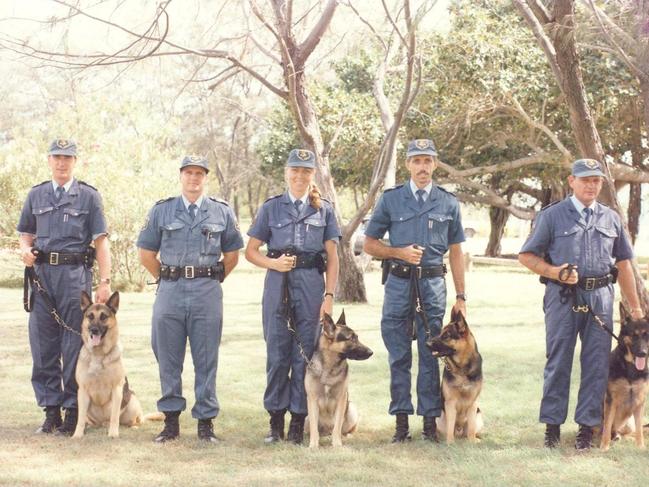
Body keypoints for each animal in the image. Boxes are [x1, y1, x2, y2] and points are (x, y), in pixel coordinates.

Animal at [71, 292, 160, 440]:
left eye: (103, 317)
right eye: (90, 316)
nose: (94, 330)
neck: (99, 354)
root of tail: (102, 424)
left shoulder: (117, 390)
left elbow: (114, 416)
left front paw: (113, 433)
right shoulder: (82, 391)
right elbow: (80, 418)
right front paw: (77, 434)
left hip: (132, 401)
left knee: (133, 421)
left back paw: (131, 426)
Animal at [306, 312, 372, 450]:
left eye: (357, 337)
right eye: (351, 338)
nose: (371, 352)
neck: (329, 367)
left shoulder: (341, 399)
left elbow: (337, 427)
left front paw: (337, 445)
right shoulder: (312, 400)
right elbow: (314, 429)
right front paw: (313, 445)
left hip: (351, 408)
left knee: (343, 430)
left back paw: (345, 436)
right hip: (307, 419)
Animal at [426, 310, 480, 444]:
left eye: (446, 336)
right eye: (440, 333)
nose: (426, 344)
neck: (461, 370)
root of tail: (459, 431)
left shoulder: (473, 403)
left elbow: (471, 426)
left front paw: (472, 441)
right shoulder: (450, 402)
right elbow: (450, 424)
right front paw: (450, 442)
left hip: (479, 415)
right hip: (439, 417)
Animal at [596, 306, 648, 452]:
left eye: (647, 335)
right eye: (634, 335)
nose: (643, 353)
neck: (630, 368)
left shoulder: (639, 401)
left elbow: (639, 429)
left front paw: (640, 446)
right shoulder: (610, 401)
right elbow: (607, 427)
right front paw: (604, 447)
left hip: (628, 423)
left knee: (631, 432)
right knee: (608, 430)